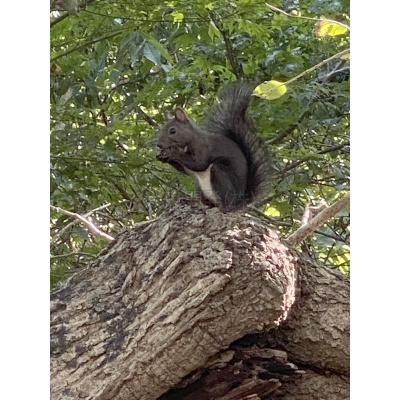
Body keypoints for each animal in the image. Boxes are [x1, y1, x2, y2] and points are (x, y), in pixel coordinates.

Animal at [156, 82, 273, 211]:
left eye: (172, 131)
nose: (159, 144)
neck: (186, 144)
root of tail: (238, 202)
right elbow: (186, 170)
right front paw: (163, 157)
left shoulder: (203, 148)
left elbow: (199, 163)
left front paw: (173, 153)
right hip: (200, 188)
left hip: (219, 175)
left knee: (225, 203)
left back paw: (223, 207)